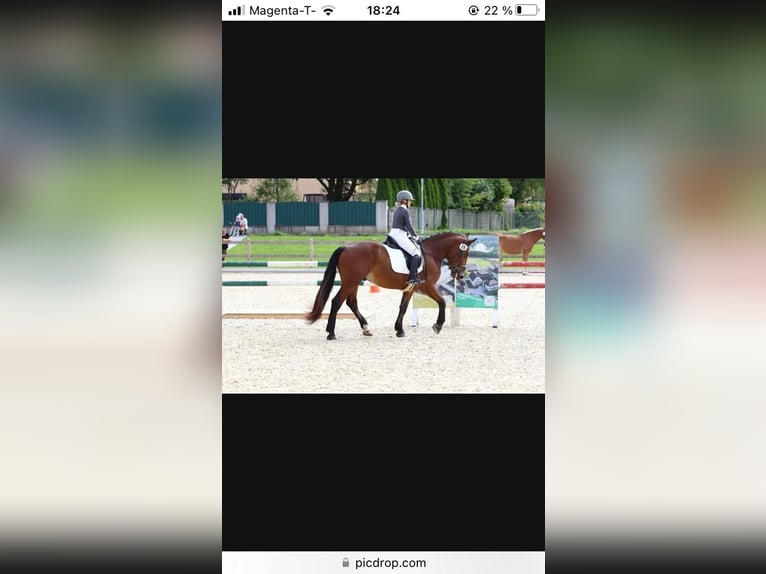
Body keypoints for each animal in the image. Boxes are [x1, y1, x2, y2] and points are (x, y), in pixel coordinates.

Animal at [305, 232, 477, 340]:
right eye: (464, 253)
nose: (461, 275)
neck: (431, 253)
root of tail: (346, 247)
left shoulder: (411, 289)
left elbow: (403, 307)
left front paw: (399, 330)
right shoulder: (426, 286)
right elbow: (441, 301)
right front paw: (438, 325)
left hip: (354, 283)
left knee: (351, 303)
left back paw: (366, 328)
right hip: (350, 282)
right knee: (336, 302)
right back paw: (331, 333)